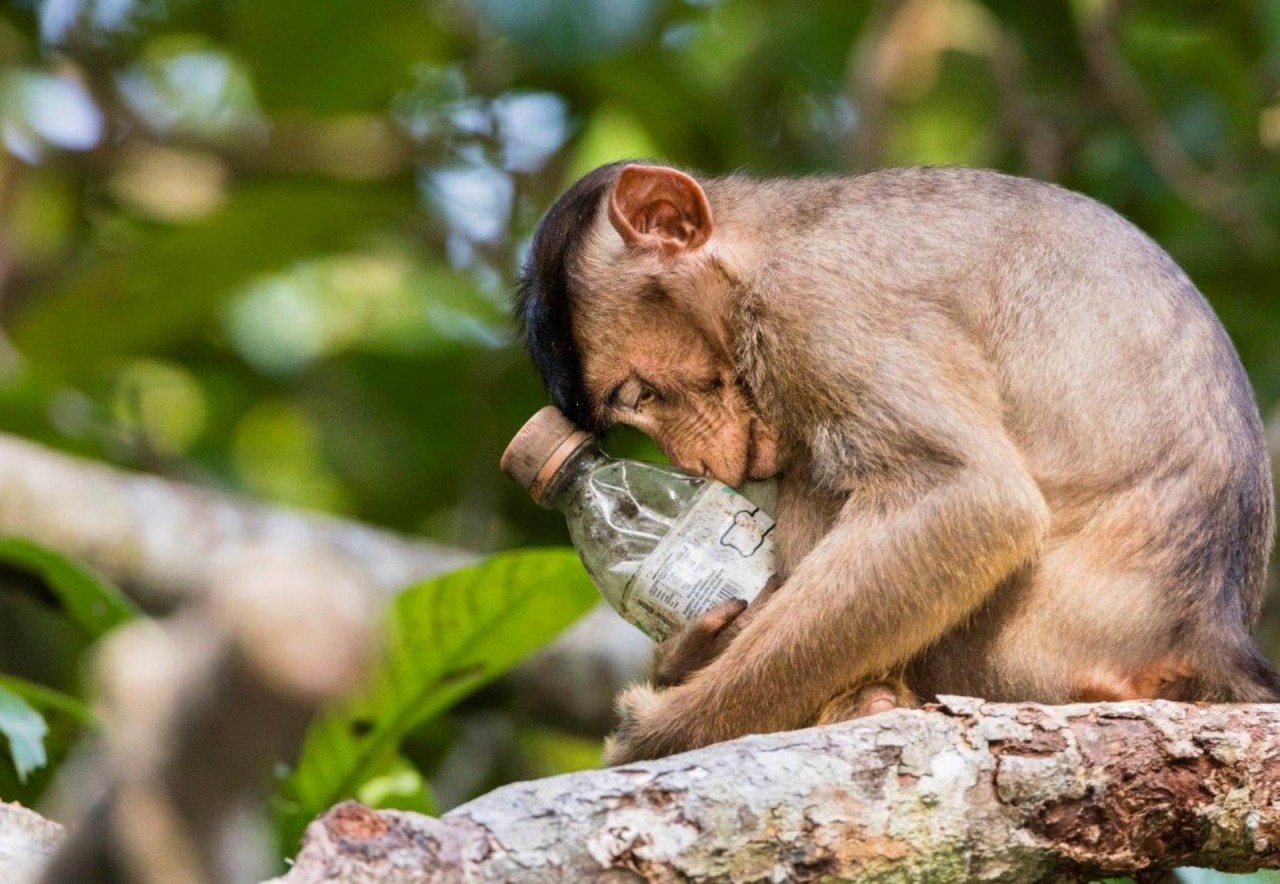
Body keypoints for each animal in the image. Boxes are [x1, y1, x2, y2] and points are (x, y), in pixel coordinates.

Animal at [512, 160, 1280, 767]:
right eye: (630, 414)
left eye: (638, 393)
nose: (690, 458)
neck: (763, 247)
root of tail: (1211, 627)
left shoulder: (814, 307)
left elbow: (972, 498)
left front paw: (667, 727)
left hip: (1021, 652)